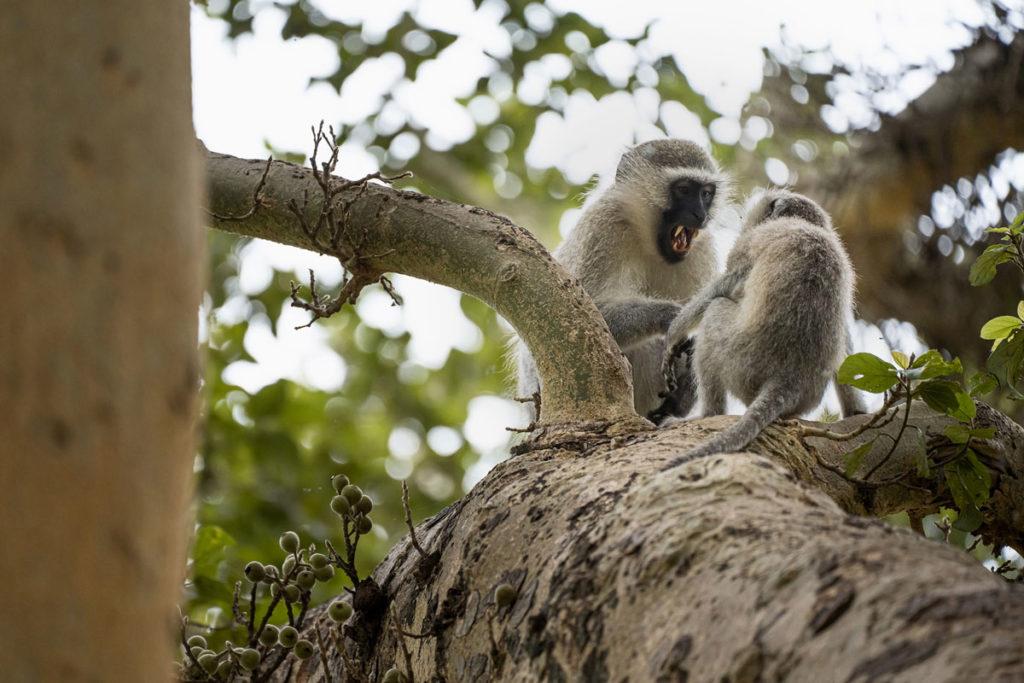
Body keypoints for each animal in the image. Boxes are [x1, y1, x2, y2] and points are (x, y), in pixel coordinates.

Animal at [514, 139, 731, 421]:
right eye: (683, 190)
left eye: (706, 193)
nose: (700, 215)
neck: (649, 242)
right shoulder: (603, 226)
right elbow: (576, 319)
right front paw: (672, 316)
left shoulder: (701, 250)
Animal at [659, 188, 867, 466]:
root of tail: (788, 378)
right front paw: (857, 411)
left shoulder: (749, 243)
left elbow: (727, 284)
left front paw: (673, 334)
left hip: (742, 362)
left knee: (715, 310)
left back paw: (707, 414)